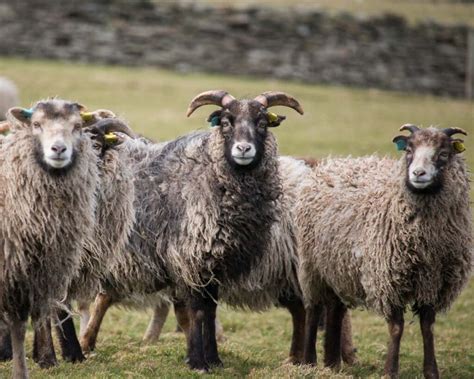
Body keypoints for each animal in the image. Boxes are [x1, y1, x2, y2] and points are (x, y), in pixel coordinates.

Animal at [0, 99, 112, 378]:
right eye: (36, 124)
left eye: (77, 126)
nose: (59, 149)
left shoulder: (40, 271)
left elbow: (31, 319)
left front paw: (43, 359)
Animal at [78, 90, 302, 372]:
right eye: (225, 122)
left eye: (262, 123)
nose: (243, 149)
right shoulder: (190, 259)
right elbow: (196, 312)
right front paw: (198, 361)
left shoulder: (214, 264)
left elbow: (209, 311)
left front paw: (213, 359)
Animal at [298, 125, 472, 379]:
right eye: (409, 150)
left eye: (443, 153)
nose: (418, 173)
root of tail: (334, 162)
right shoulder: (389, 280)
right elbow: (397, 327)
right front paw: (390, 371)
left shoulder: (434, 282)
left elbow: (428, 326)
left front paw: (431, 372)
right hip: (312, 266)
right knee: (313, 309)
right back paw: (309, 363)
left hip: (340, 266)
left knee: (336, 309)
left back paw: (332, 364)